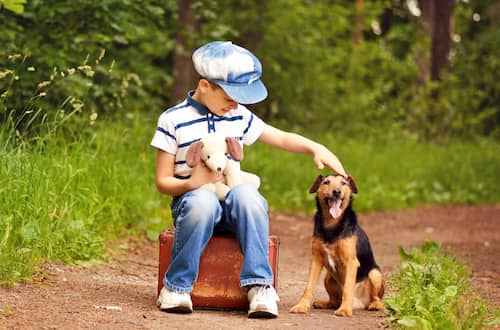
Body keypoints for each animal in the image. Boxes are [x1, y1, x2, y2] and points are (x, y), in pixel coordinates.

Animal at [290, 174, 382, 316]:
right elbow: (308, 286)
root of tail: (359, 304)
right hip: (328, 278)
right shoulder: (316, 260)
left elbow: (348, 288)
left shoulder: (351, 262)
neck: (331, 224)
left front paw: (345, 309)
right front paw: (301, 306)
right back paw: (323, 303)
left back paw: (375, 305)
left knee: (377, 298)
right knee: (334, 301)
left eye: (343, 183)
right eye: (326, 182)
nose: (337, 192)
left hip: (375, 274)